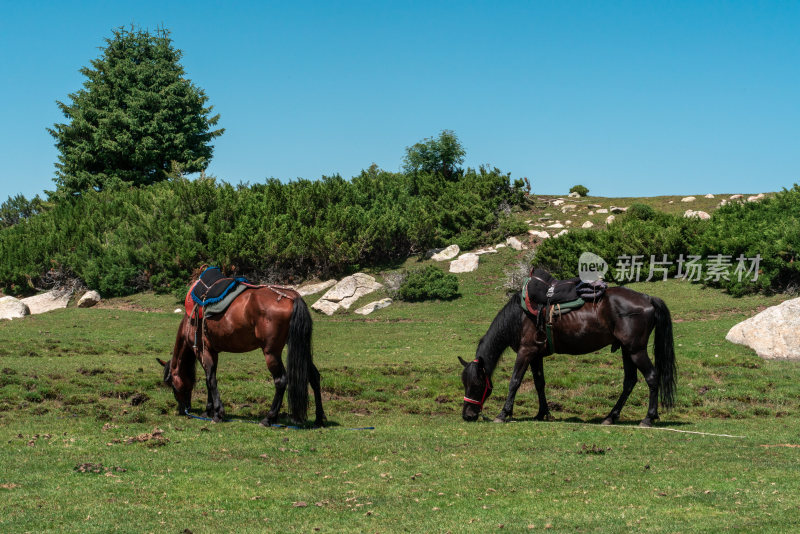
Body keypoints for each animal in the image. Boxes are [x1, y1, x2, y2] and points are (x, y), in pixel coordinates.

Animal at [161, 286, 326, 430]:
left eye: (172, 385)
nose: (183, 409)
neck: (190, 322)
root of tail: (293, 297)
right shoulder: (213, 352)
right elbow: (210, 379)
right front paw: (209, 410)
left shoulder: (203, 351)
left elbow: (210, 380)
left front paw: (217, 413)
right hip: (301, 348)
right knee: (314, 377)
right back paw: (319, 419)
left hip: (271, 353)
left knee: (281, 381)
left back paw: (268, 418)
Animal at [462, 286, 676, 430]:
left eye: (476, 385)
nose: (467, 415)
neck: (520, 316)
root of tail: (647, 298)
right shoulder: (536, 355)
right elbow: (539, 383)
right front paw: (542, 413)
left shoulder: (526, 351)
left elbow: (515, 381)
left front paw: (503, 413)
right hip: (626, 350)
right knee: (630, 381)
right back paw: (610, 417)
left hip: (635, 350)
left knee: (651, 377)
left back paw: (648, 418)